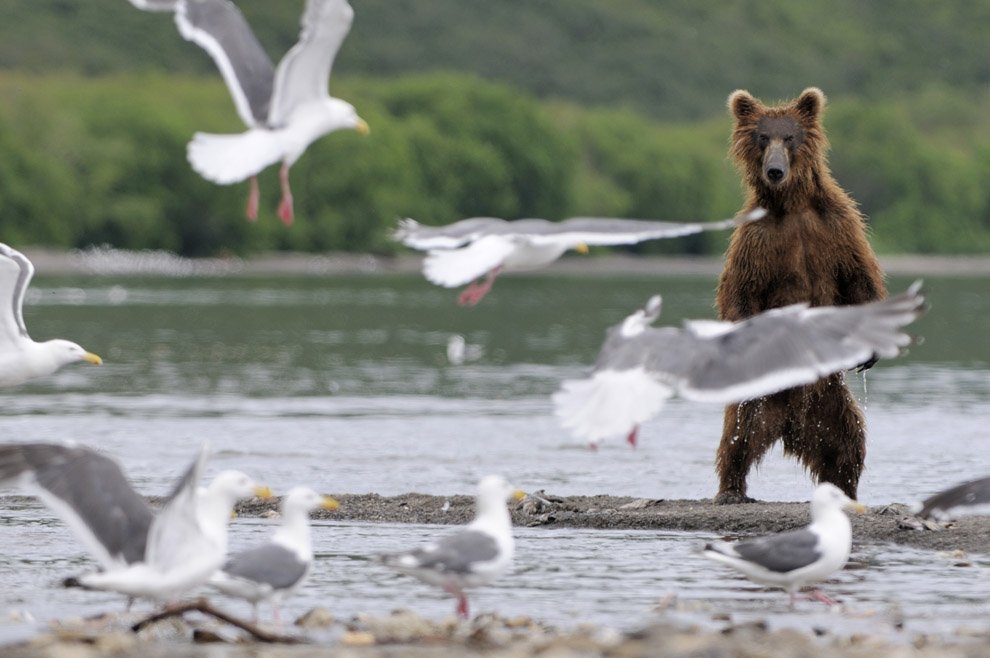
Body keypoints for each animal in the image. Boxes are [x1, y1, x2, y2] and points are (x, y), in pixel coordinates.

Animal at [716, 88, 888, 502]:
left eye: (790, 137)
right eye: (763, 138)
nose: (775, 170)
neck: (790, 204)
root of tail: (790, 423)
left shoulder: (837, 226)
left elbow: (859, 275)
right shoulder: (756, 241)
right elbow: (740, 292)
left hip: (829, 401)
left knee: (847, 441)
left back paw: (844, 489)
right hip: (760, 396)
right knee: (738, 433)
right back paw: (731, 488)